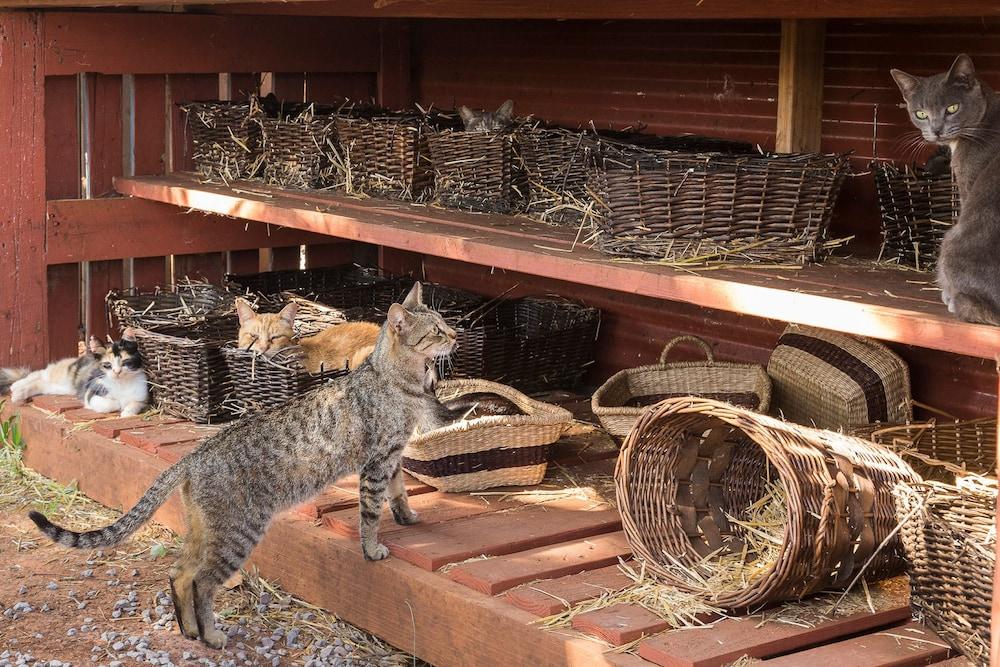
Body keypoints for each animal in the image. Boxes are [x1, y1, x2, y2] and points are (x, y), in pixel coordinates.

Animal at [0, 330, 148, 418]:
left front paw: (126, 413)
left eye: (125, 362)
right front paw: (119, 405)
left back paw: (18, 392)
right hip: (63, 374)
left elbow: (134, 405)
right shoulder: (91, 393)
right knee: (39, 373)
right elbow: (111, 404)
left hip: (63, 388)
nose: (117, 372)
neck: (122, 383)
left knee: (40, 383)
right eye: (107, 365)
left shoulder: (142, 399)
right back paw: (16, 387)